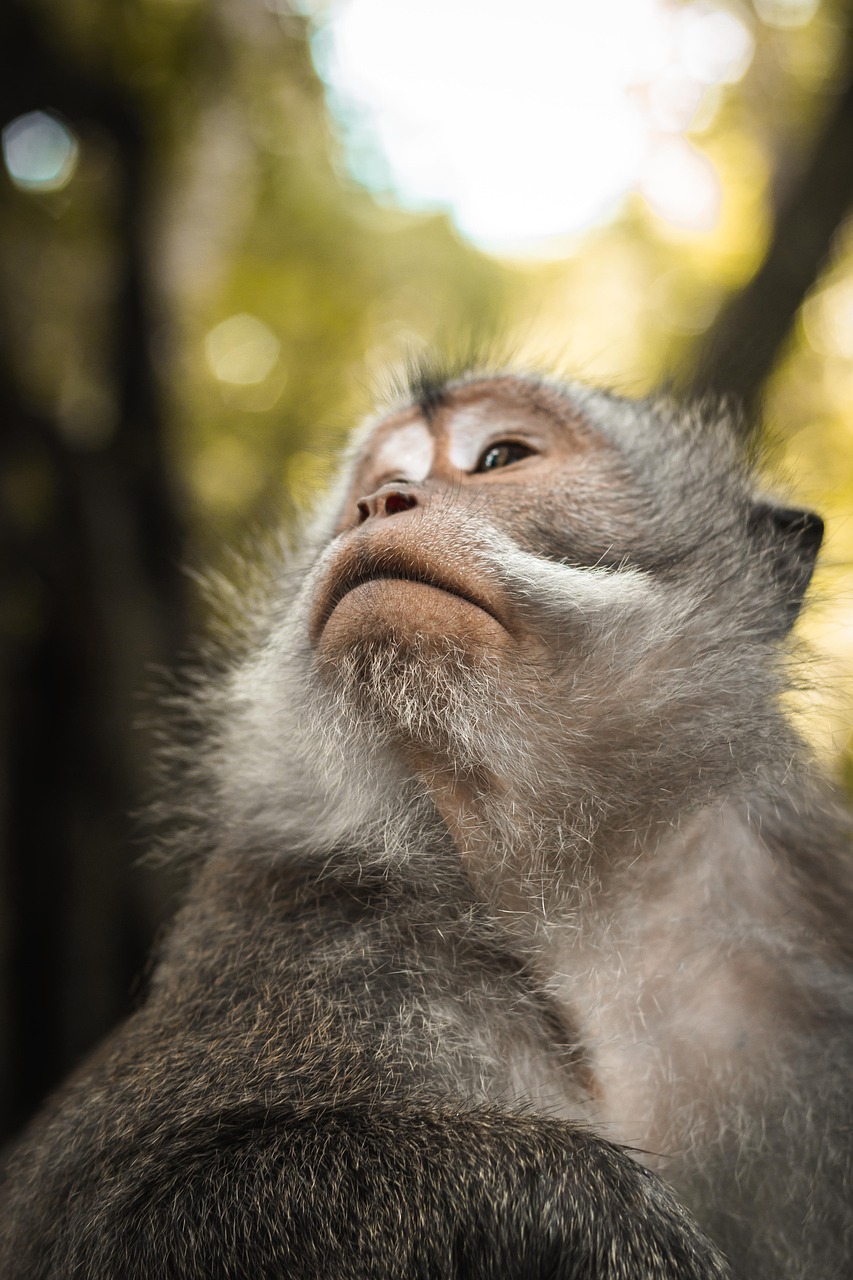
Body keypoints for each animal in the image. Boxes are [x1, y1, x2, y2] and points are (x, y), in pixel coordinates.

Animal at [1, 366, 850, 1274]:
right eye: (379, 480)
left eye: (499, 457)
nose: (380, 502)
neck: (573, 891)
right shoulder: (287, 924)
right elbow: (117, 1221)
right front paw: (594, 1205)